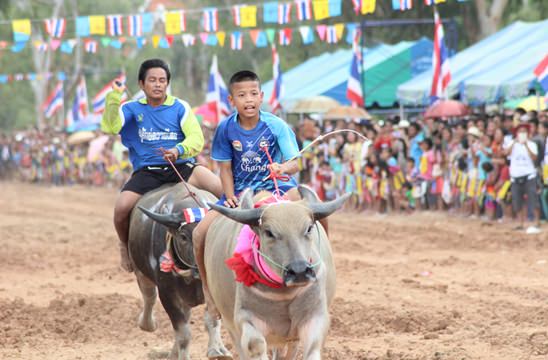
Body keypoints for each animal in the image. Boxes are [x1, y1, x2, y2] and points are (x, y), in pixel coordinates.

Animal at [132, 184, 232, 358]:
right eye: (184, 237)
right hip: (140, 271)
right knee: (149, 296)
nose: (202, 266)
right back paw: (148, 324)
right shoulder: (168, 295)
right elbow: (183, 333)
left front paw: (217, 350)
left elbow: (212, 320)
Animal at [203, 187, 348, 358]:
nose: (299, 271)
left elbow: (313, 347)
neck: (284, 295)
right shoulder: (245, 317)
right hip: (228, 321)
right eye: (269, 232)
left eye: (309, 228)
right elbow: (255, 344)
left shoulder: (315, 316)